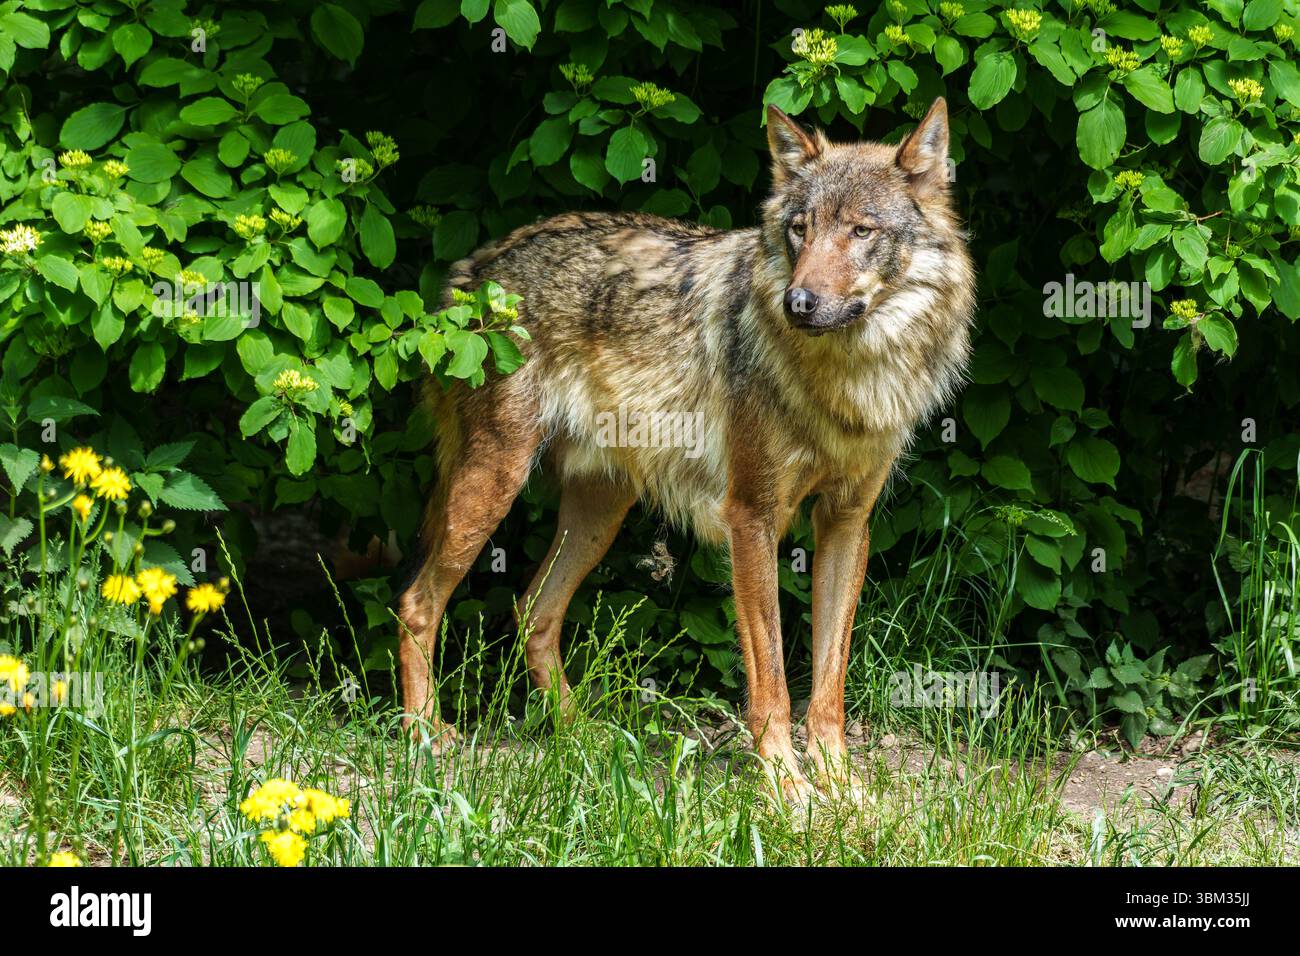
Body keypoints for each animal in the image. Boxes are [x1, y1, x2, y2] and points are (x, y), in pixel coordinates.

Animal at [399, 98, 975, 802]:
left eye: (862, 231)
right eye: (800, 230)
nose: (799, 302)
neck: (847, 381)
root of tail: (473, 270)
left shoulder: (846, 523)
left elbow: (828, 683)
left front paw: (840, 786)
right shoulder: (751, 517)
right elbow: (772, 681)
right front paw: (787, 789)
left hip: (598, 516)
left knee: (532, 611)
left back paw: (582, 739)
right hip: (494, 486)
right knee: (417, 604)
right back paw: (426, 735)